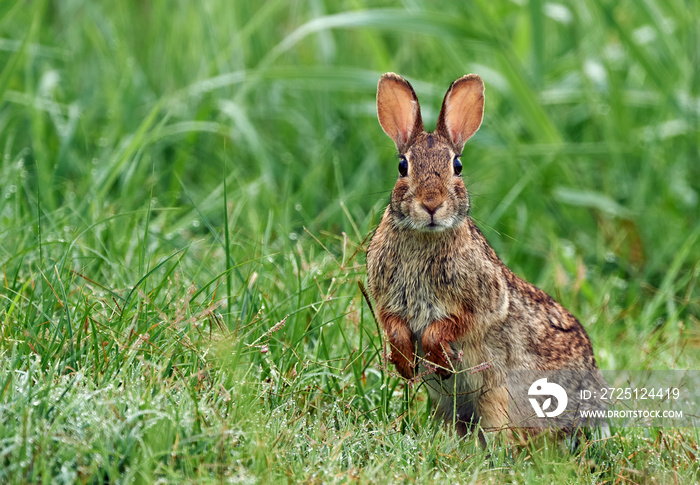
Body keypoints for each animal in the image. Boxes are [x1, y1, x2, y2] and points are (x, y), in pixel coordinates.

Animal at [366, 73, 608, 442]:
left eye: (457, 166)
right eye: (402, 166)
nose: (431, 204)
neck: (425, 237)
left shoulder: (484, 302)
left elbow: (451, 325)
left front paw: (437, 358)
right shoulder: (387, 302)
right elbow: (393, 326)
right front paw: (405, 363)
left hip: (497, 396)